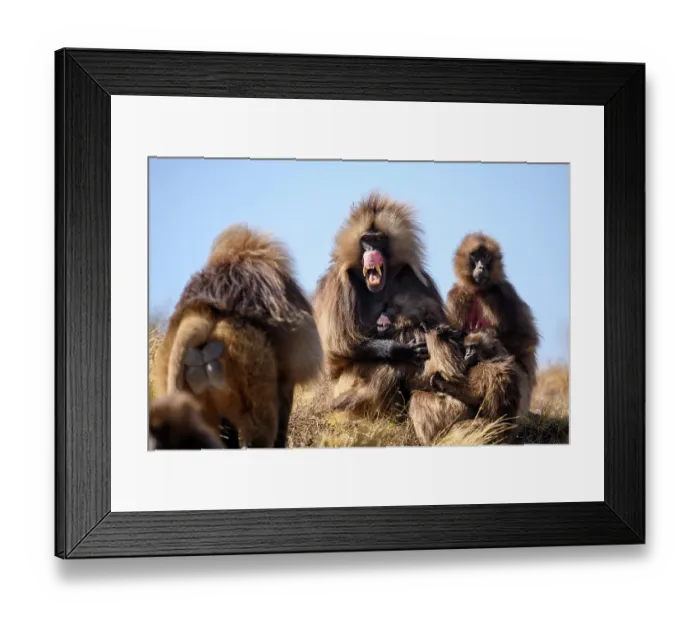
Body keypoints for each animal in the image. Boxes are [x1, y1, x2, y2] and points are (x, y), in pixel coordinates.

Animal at [446, 232, 540, 419]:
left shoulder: (505, 292)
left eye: (486, 256)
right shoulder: (455, 296)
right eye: (475, 255)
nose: (481, 267)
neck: (478, 291)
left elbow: (527, 339)